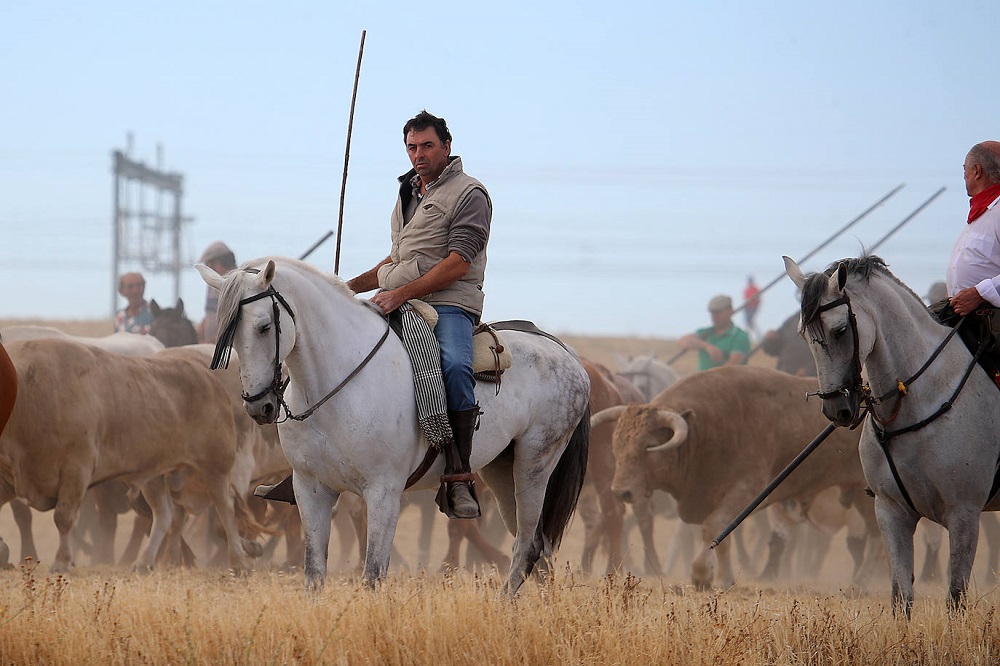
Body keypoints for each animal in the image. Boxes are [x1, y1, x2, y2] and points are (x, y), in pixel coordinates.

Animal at [0, 338, 254, 572]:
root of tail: (214, 384)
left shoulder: (76, 470)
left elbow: (63, 517)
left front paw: (62, 562)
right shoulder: (9, 480)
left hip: (215, 470)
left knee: (226, 509)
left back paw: (239, 561)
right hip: (155, 478)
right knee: (165, 516)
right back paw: (144, 562)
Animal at [198, 258, 588, 592]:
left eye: (264, 327)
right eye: (228, 334)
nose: (258, 405)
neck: (337, 381)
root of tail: (565, 352)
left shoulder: (383, 493)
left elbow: (373, 573)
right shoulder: (311, 489)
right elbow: (314, 573)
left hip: (533, 466)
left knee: (526, 546)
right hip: (501, 471)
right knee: (538, 548)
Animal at [592, 364, 876, 588]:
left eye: (649, 447)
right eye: (617, 444)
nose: (621, 491)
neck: (705, 428)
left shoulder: (745, 491)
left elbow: (714, 529)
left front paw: (705, 575)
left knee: (878, 540)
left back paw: (862, 583)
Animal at [788, 254, 1000, 612]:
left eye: (841, 330)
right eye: (803, 337)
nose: (837, 411)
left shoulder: (964, 514)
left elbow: (955, 597)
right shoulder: (891, 512)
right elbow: (902, 596)